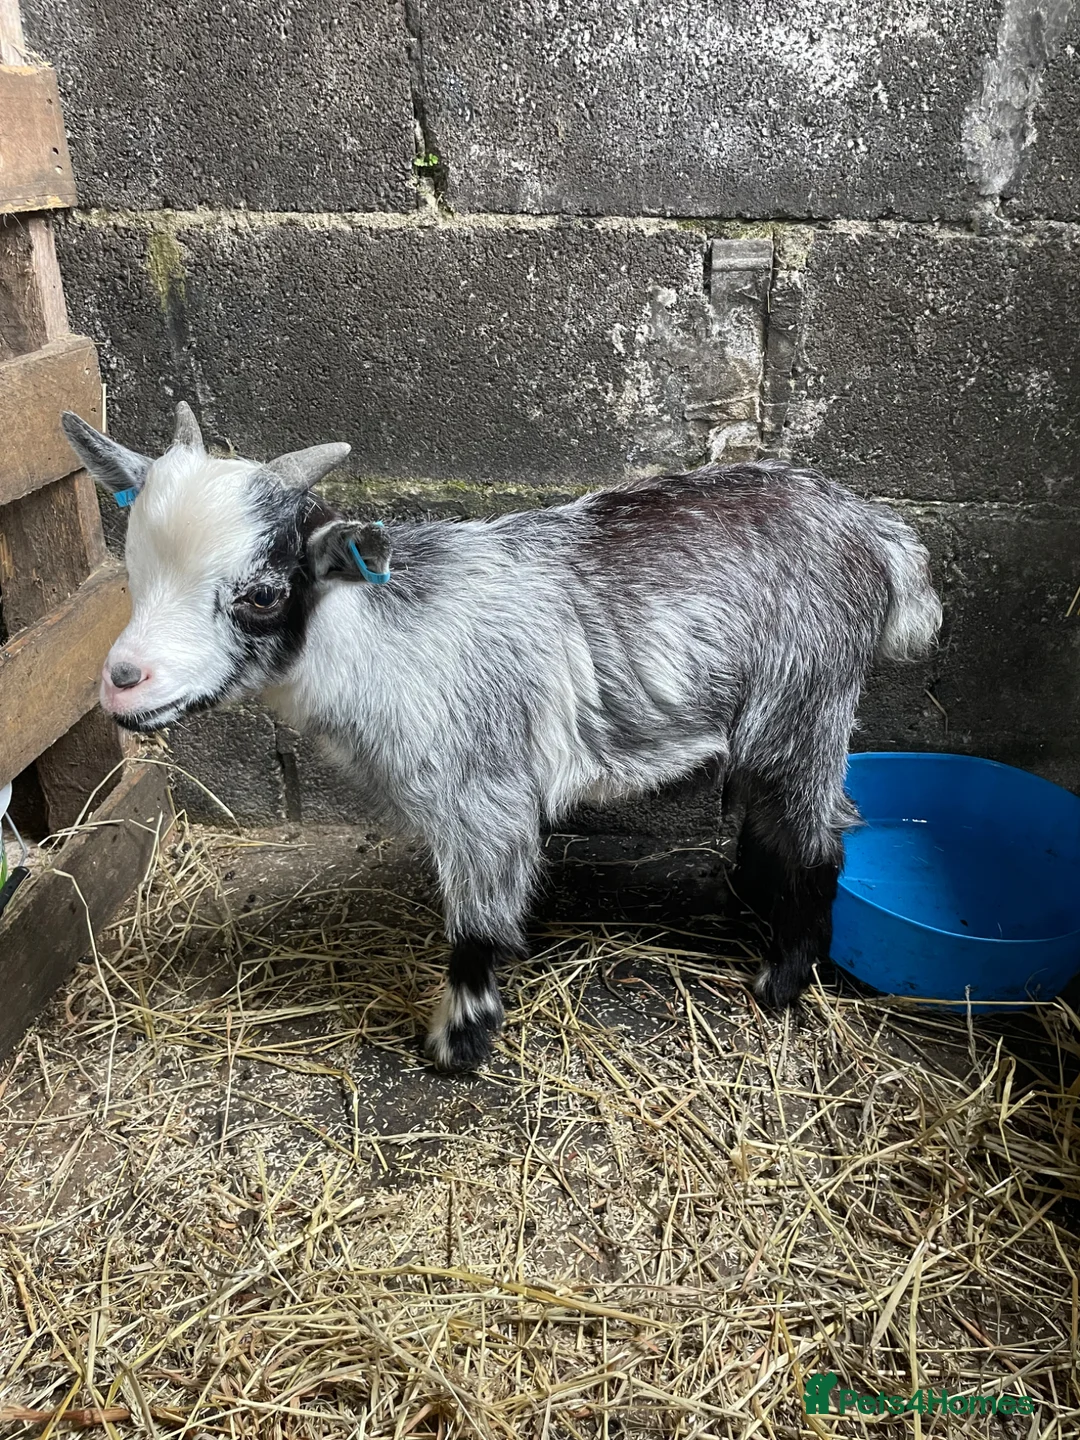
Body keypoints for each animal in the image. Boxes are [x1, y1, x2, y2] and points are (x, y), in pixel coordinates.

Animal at [63, 404, 942, 1071]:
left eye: (262, 593)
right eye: (133, 567)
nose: (123, 680)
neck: (375, 638)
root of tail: (875, 530)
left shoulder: (482, 794)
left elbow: (477, 929)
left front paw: (457, 1044)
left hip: (806, 698)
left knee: (822, 839)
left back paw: (781, 981)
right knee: (774, 817)